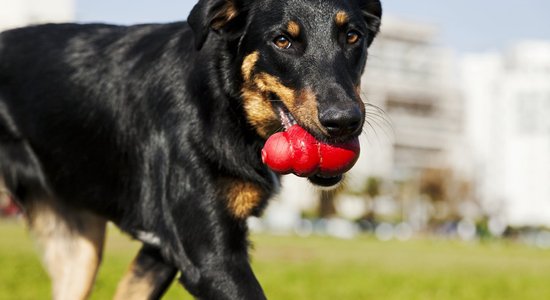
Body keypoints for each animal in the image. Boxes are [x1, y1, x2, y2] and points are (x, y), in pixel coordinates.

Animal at [0, 0, 382, 298]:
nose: (344, 121)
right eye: (283, 41)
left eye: (352, 36)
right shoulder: (211, 259)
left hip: (80, 253)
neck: (223, 99)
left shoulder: (160, 252)